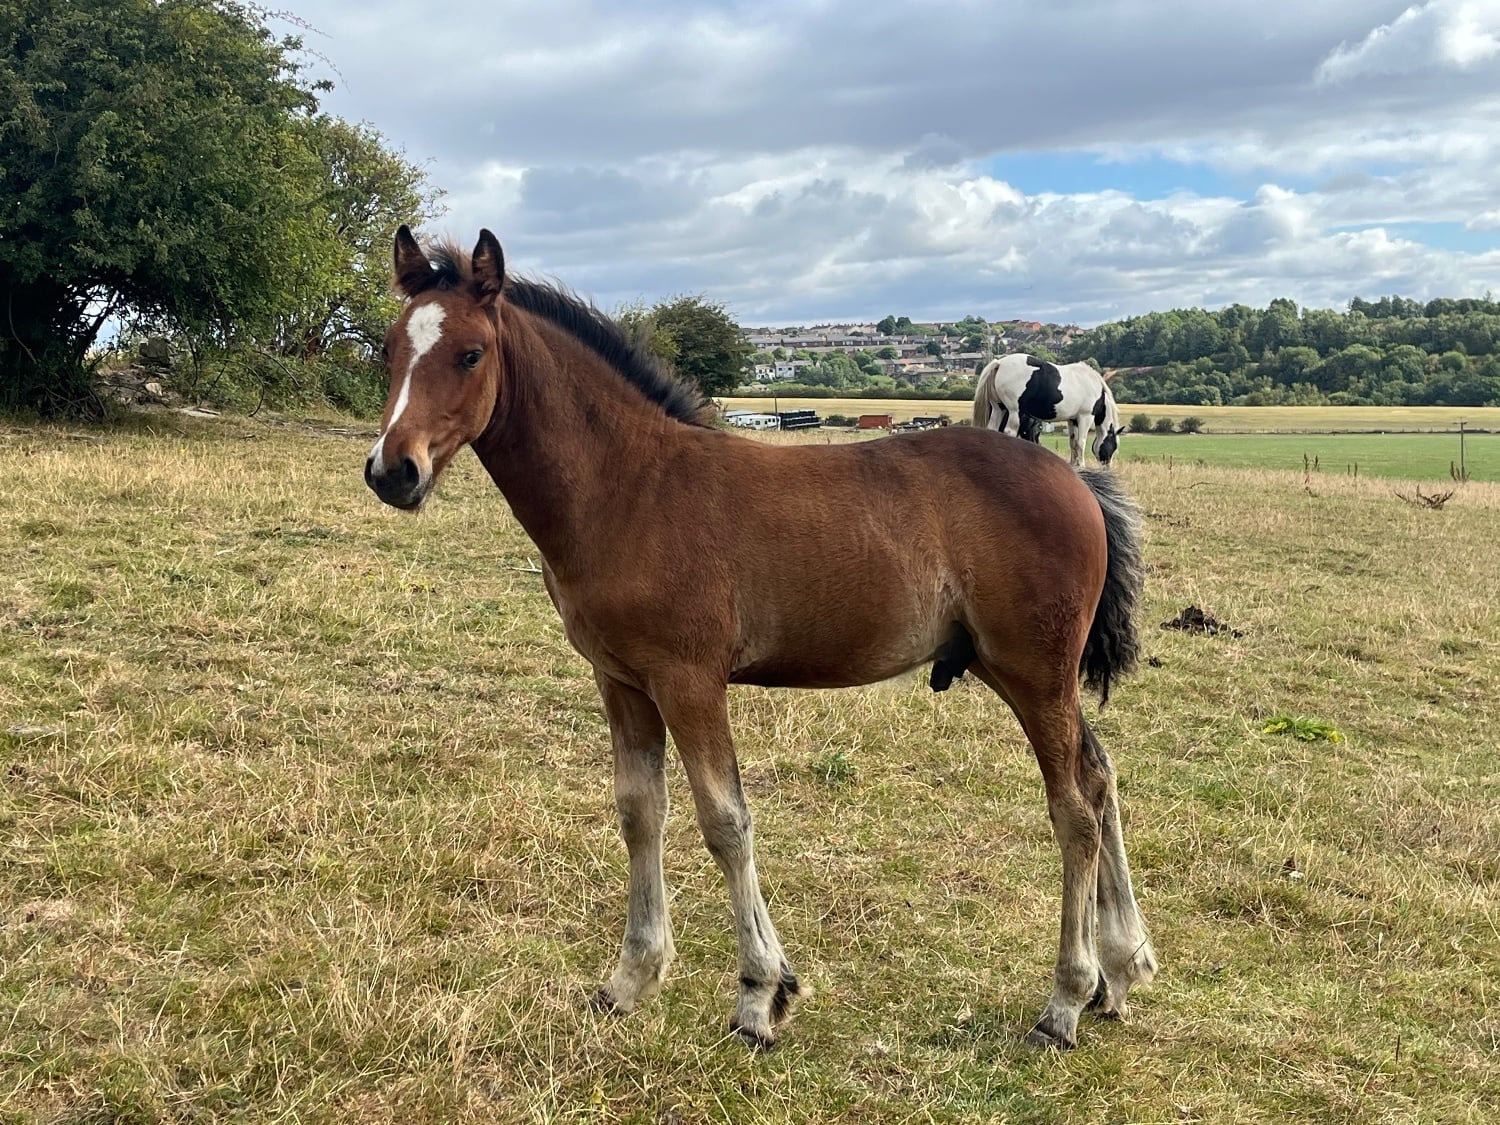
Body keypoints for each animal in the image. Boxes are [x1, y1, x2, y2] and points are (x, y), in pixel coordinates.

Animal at [974, 353, 1122, 467]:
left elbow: (1073, 442)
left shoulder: (1072, 419)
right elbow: (1081, 442)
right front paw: (1082, 465)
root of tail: (999, 363)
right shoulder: (1085, 417)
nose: (1107, 467)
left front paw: (1073, 464)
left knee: (992, 429)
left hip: (999, 409)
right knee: (1009, 432)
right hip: (1014, 411)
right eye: (1114, 445)